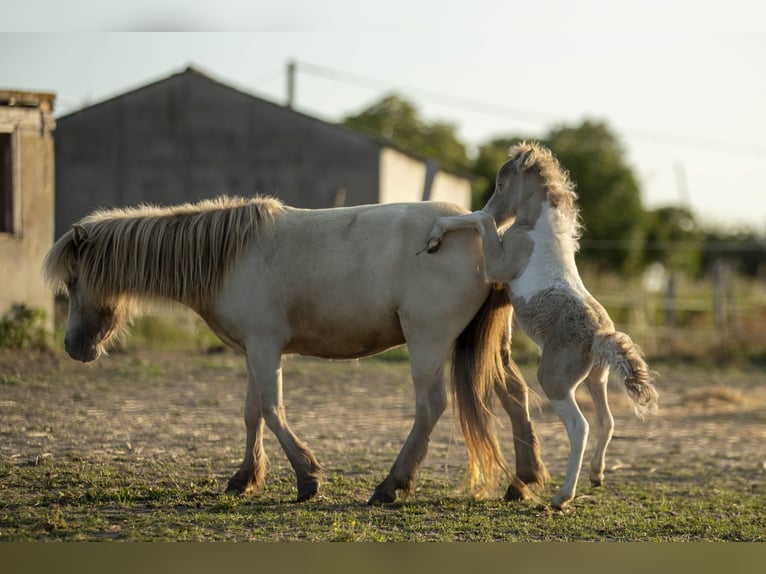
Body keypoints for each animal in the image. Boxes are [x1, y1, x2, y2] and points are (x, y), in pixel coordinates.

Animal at [43, 196, 552, 506]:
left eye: (74, 279)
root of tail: (485, 232)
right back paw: (523, 481)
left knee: (430, 407)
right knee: (513, 397)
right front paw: (243, 478)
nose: (73, 347)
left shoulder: (266, 347)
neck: (230, 257)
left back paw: (391, 486)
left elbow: (272, 409)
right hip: (490, 346)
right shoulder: (253, 350)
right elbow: (251, 413)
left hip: (428, 341)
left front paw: (308, 478)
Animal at [426, 144, 660, 512]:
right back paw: (596, 475)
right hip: (596, 377)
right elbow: (481, 219)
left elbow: (480, 219)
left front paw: (437, 234)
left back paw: (562, 497)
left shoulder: (497, 265)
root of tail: (599, 336)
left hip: (555, 381)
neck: (538, 230)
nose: (498, 210)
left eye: (502, 183)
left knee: (580, 427)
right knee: (606, 421)